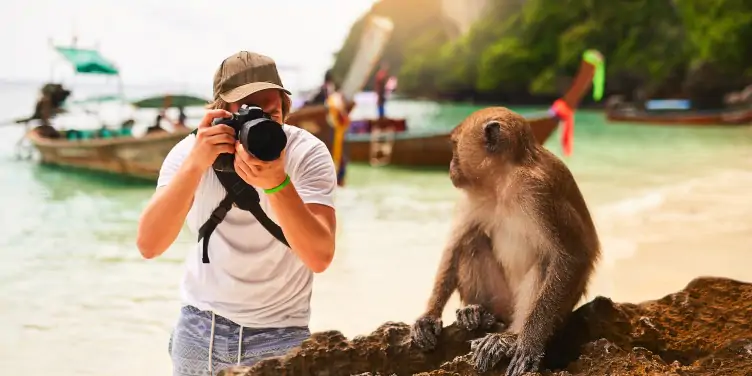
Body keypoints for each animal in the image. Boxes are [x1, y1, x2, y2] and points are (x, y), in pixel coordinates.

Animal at [408, 106, 604, 376]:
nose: (450, 166)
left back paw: (510, 337)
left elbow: (574, 255)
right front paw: (428, 317)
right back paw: (477, 312)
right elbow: (456, 244)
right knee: (472, 241)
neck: (503, 180)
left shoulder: (539, 192)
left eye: (454, 145)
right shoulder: (474, 196)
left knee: (546, 263)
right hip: (501, 298)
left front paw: (528, 342)